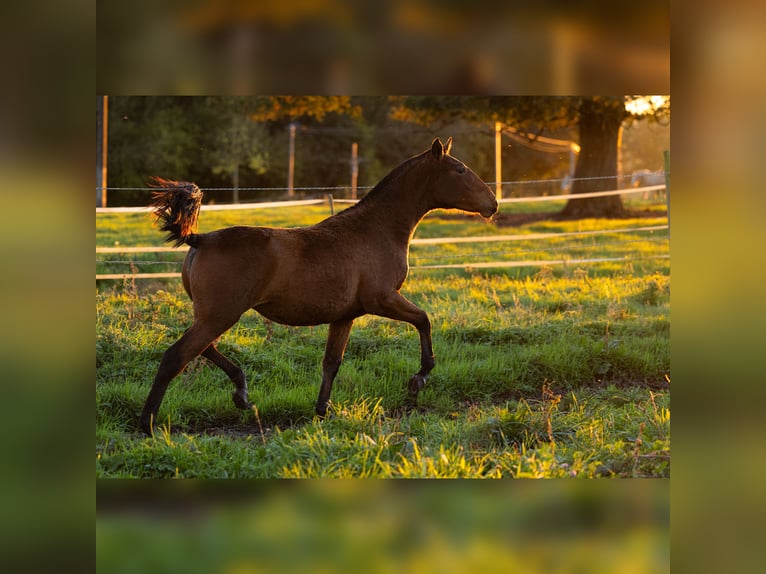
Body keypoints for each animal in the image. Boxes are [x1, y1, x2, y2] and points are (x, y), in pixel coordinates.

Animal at [140, 138, 498, 436]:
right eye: (460, 169)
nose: (493, 204)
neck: (376, 229)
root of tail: (199, 239)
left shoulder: (345, 316)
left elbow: (331, 363)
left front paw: (322, 411)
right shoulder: (382, 299)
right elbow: (424, 320)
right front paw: (418, 379)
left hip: (213, 316)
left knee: (204, 349)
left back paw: (241, 394)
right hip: (220, 316)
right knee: (177, 356)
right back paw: (149, 425)